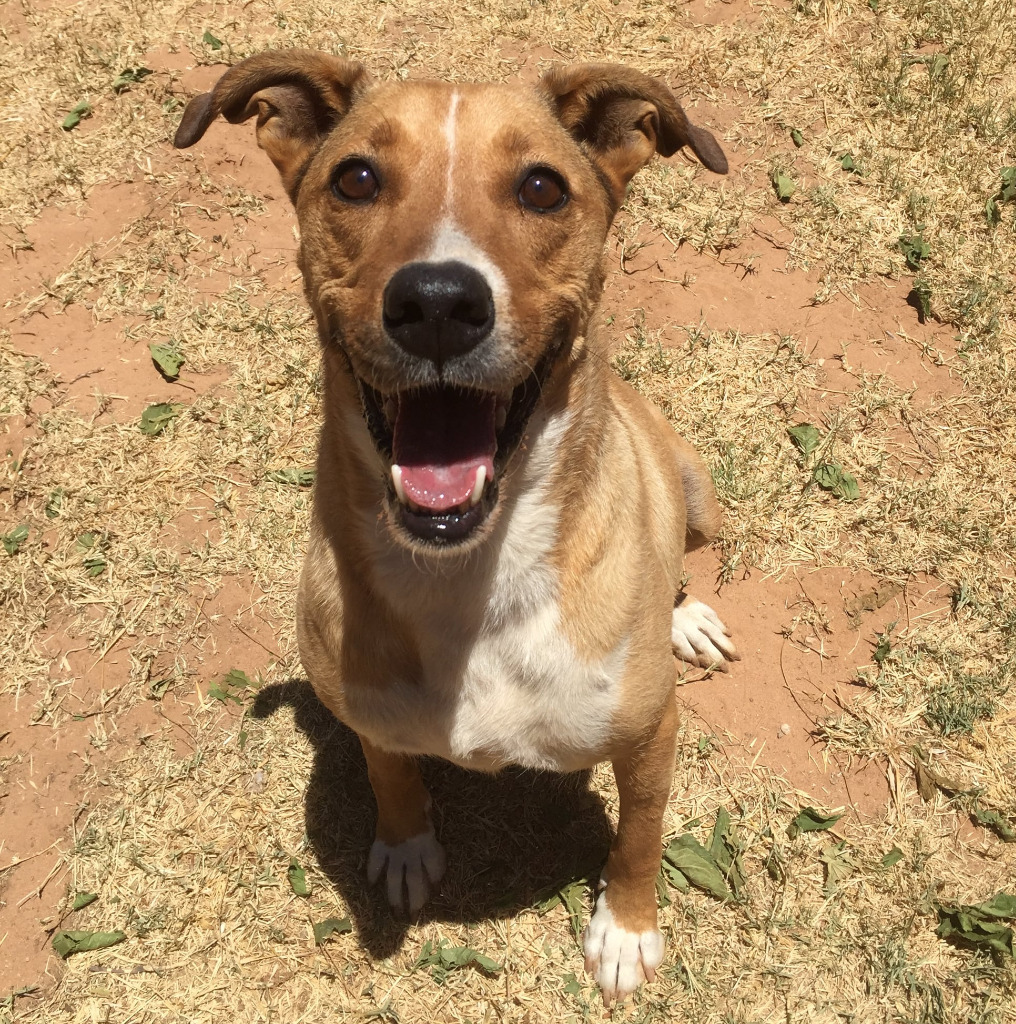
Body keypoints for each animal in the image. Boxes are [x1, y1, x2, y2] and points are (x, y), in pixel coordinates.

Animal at [174, 51, 737, 1003]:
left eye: (543, 188)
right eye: (356, 178)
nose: (437, 302)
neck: (469, 580)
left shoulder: (650, 736)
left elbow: (640, 835)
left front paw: (626, 932)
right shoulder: (368, 715)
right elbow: (390, 773)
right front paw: (405, 849)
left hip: (696, 490)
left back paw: (687, 613)